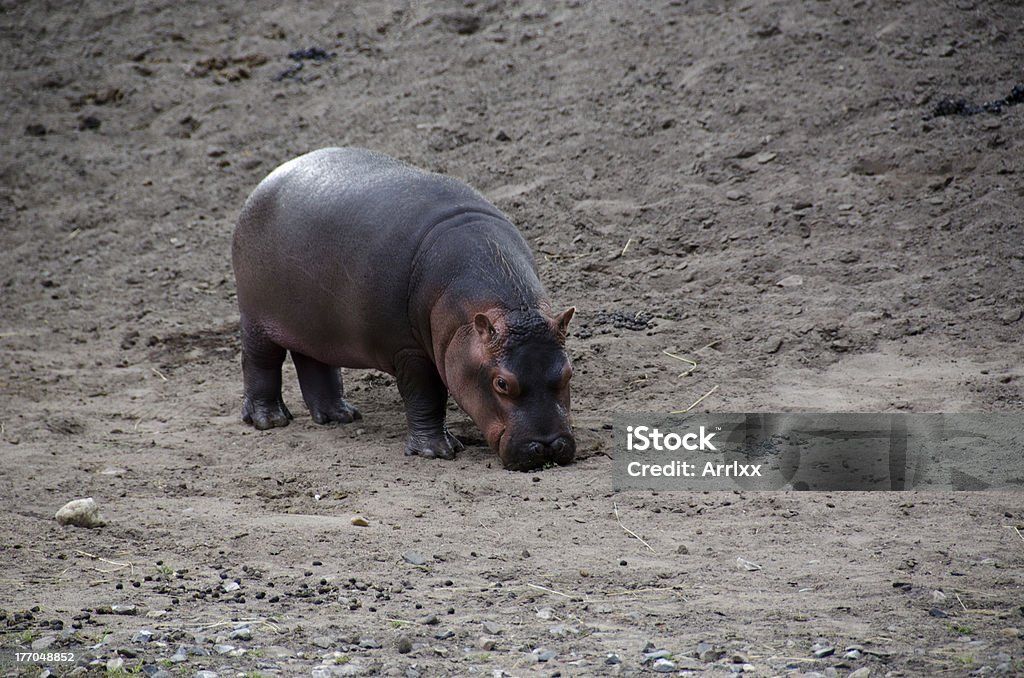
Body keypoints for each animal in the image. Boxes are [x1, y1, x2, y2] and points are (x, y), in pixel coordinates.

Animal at [231, 147, 577, 473]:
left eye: (568, 372)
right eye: (501, 383)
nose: (548, 447)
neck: (510, 309)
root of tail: (266, 181)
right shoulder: (409, 350)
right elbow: (425, 395)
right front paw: (436, 452)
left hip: (315, 324)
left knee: (315, 362)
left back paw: (340, 416)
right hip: (255, 318)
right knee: (260, 362)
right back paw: (269, 420)